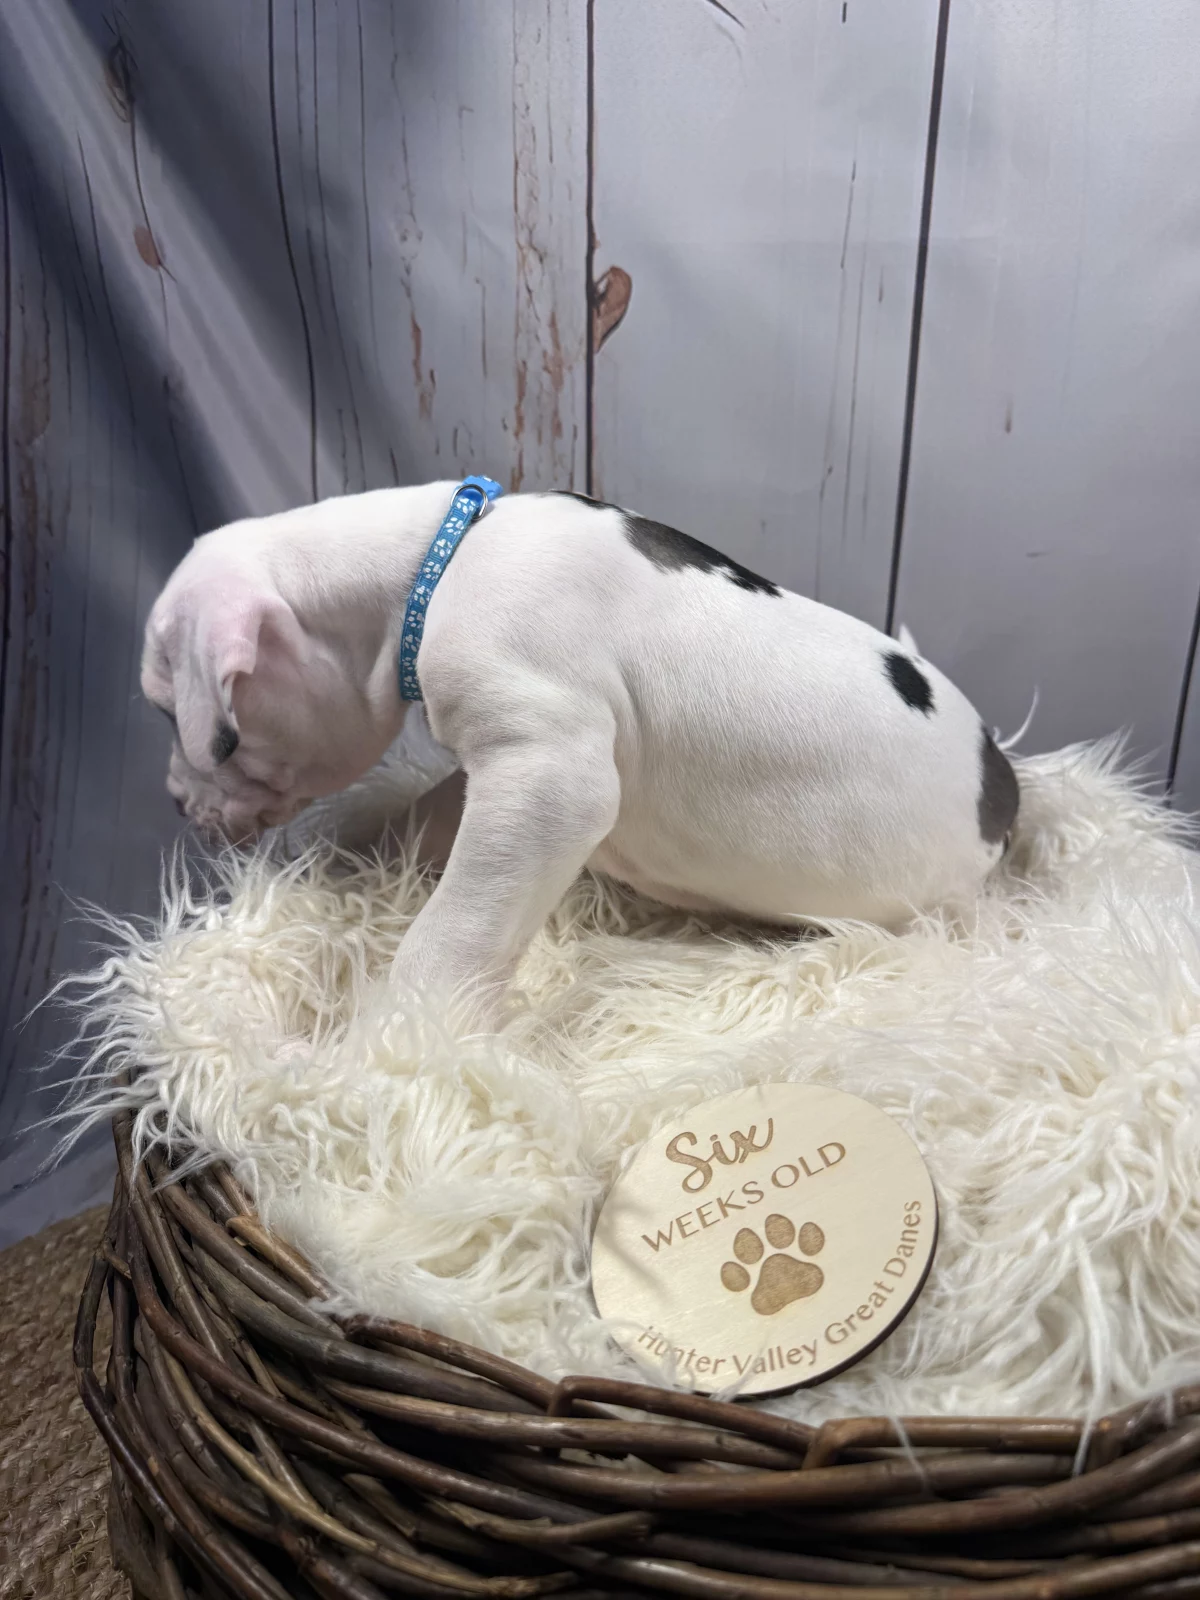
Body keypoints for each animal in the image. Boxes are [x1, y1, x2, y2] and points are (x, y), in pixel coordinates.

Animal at [141, 481, 1019, 1016]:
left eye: (166, 711)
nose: (175, 802)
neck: (437, 563)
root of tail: (1005, 788)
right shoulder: (494, 762)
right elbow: (425, 819)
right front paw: (358, 868)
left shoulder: (549, 774)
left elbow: (451, 931)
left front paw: (400, 1042)